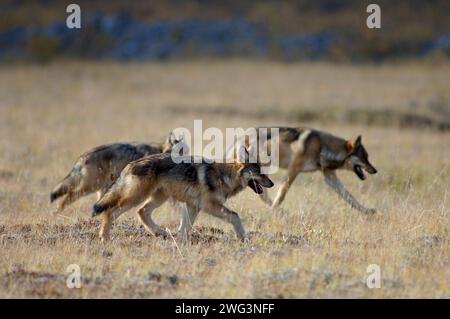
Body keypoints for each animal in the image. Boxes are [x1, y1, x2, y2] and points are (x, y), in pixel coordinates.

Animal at [51, 132, 186, 215]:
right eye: (171, 152)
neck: (160, 149)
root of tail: (83, 156)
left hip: (101, 188)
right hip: (89, 187)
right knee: (68, 196)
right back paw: (57, 213)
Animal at [92, 149, 274, 244]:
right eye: (258, 172)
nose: (272, 183)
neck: (224, 175)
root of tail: (130, 164)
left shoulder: (193, 206)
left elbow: (185, 227)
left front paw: (180, 241)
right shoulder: (209, 206)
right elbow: (235, 216)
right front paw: (243, 237)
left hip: (158, 198)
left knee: (141, 212)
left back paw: (160, 232)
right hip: (137, 197)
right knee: (110, 212)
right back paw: (104, 237)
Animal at [246, 127, 376, 215]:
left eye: (367, 158)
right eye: (364, 158)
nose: (375, 171)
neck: (323, 147)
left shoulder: (329, 176)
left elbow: (349, 196)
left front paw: (367, 211)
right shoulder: (294, 168)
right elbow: (282, 193)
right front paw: (273, 209)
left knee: (262, 194)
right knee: (262, 193)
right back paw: (277, 210)